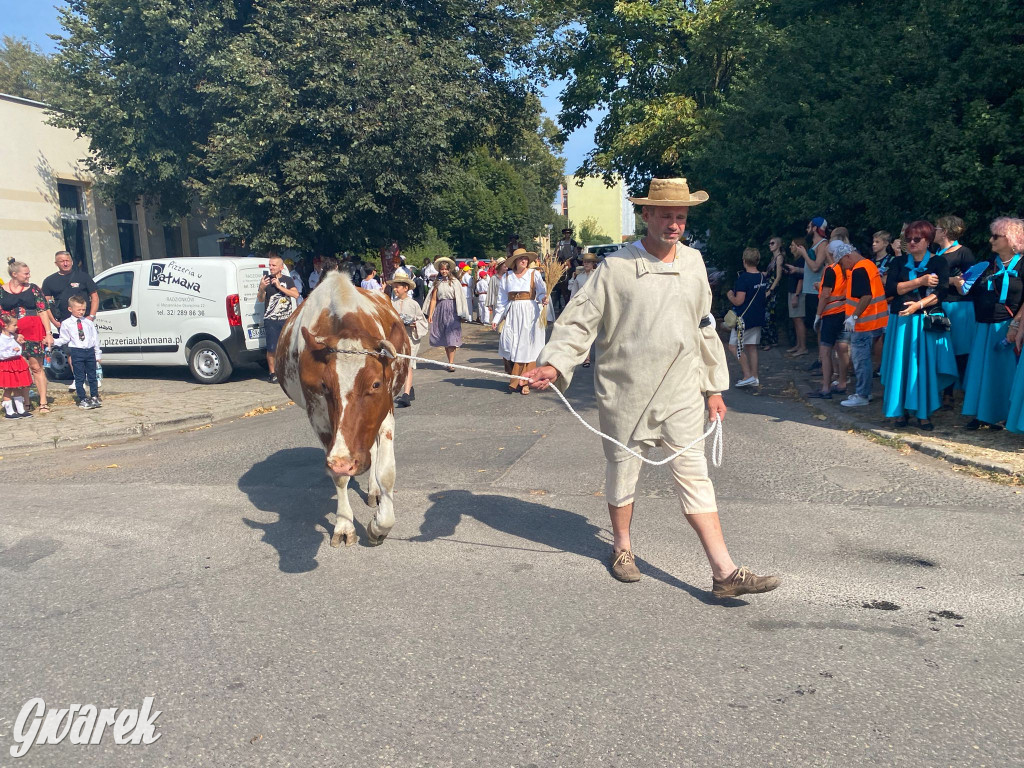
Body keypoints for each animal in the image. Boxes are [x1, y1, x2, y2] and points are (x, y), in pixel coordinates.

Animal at [278, 274, 413, 548]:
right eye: (325, 385)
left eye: (376, 384)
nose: (345, 462)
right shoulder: (319, 418)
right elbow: (338, 477)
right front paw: (343, 525)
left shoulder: (386, 412)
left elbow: (387, 472)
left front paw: (380, 525)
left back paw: (374, 491)